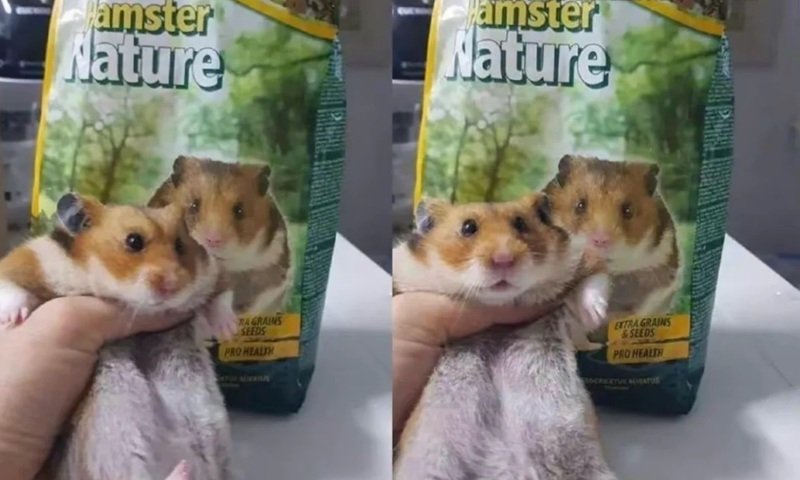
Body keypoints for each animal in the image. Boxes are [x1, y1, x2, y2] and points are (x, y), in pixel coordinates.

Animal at [392, 194, 617, 480]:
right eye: (468, 228)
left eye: (520, 223)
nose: (504, 259)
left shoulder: (582, 260)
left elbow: (592, 283)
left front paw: (595, 317)